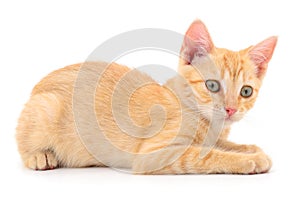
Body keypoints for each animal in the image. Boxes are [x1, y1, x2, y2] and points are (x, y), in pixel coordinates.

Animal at [17, 20, 276, 174]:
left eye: (246, 91)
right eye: (212, 85)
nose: (231, 109)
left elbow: (223, 145)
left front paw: (250, 149)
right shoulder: (153, 153)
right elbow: (203, 156)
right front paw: (248, 160)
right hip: (46, 106)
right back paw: (39, 156)